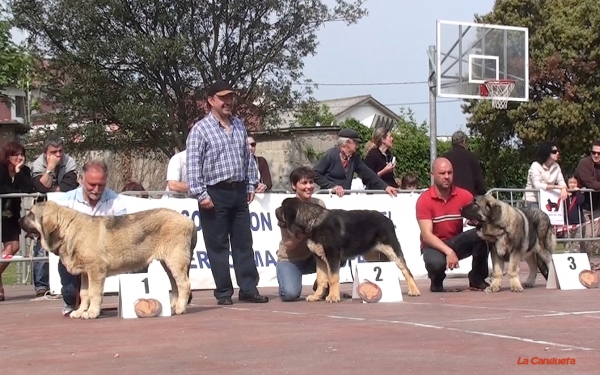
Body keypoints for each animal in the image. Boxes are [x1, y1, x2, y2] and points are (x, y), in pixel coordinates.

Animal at [18, 201, 197, 322]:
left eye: (31, 215)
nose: (18, 220)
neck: (67, 229)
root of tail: (189, 221)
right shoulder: (85, 273)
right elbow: (84, 293)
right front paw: (80, 311)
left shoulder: (95, 270)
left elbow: (94, 293)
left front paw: (92, 312)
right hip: (168, 263)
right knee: (175, 283)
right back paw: (173, 306)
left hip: (175, 260)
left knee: (184, 284)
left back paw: (180, 307)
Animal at [274, 198, 420, 304]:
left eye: (282, 207)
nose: (275, 209)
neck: (313, 221)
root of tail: (387, 219)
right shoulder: (319, 258)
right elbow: (321, 279)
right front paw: (316, 296)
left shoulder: (332, 255)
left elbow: (333, 278)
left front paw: (333, 296)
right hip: (372, 255)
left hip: (392, 249)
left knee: (406, 270)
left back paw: (414, 290)